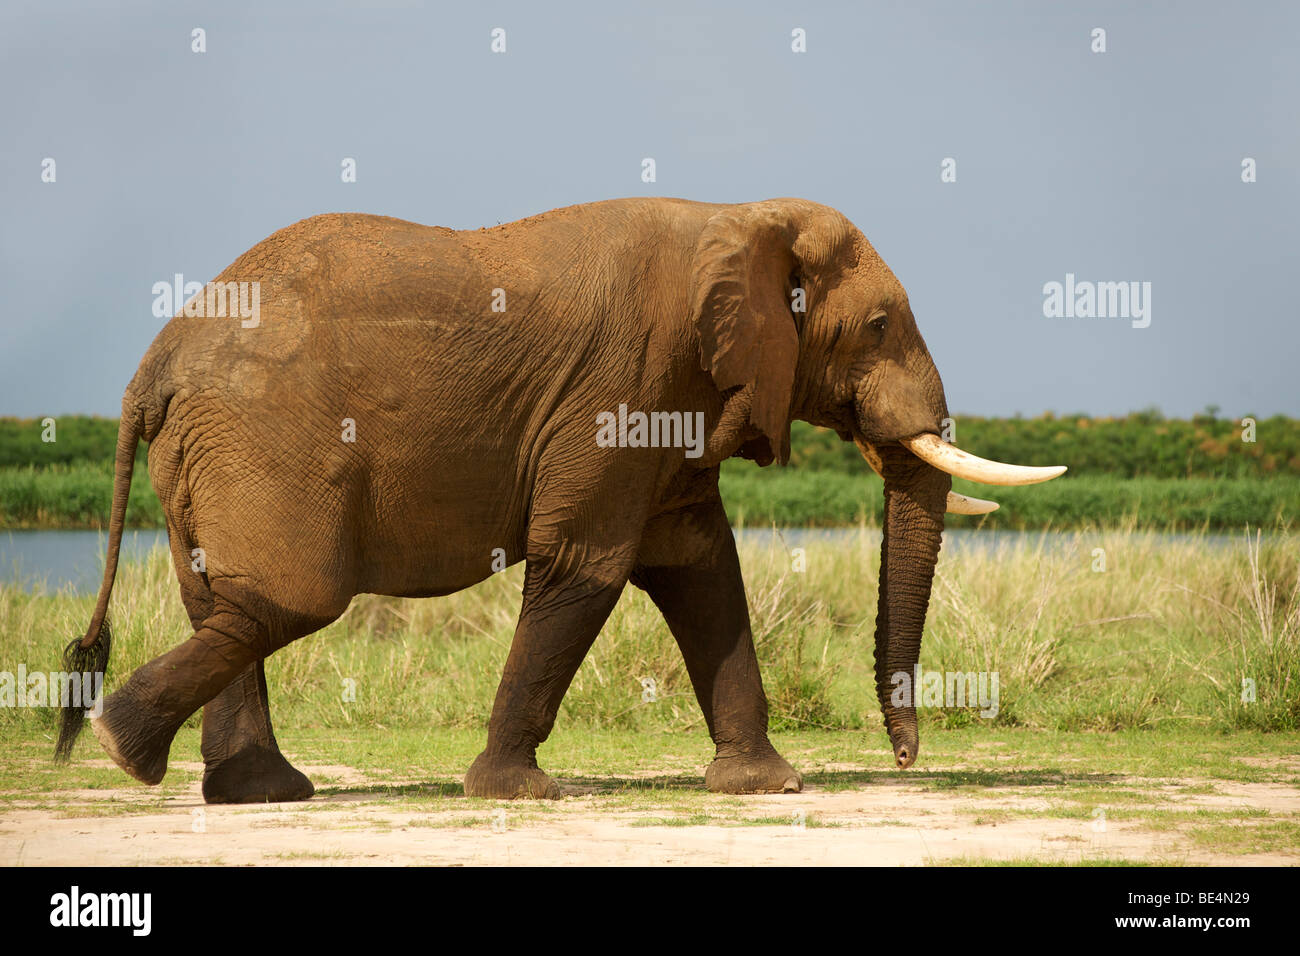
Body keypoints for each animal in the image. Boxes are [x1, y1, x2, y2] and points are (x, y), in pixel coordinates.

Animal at [55, 197, 1060, 806]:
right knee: (288, 599)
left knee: (227, 602)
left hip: (205, 453)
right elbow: (587, 564)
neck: (740, 217)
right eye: (882, 326)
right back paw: (120, 747)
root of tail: (153, 366)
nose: (907, 756)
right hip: (263, 438)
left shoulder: (676, 402)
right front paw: (515, 794)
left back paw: (245, 788)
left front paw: (766, 786)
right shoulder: (623, 384)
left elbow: (702, 567)